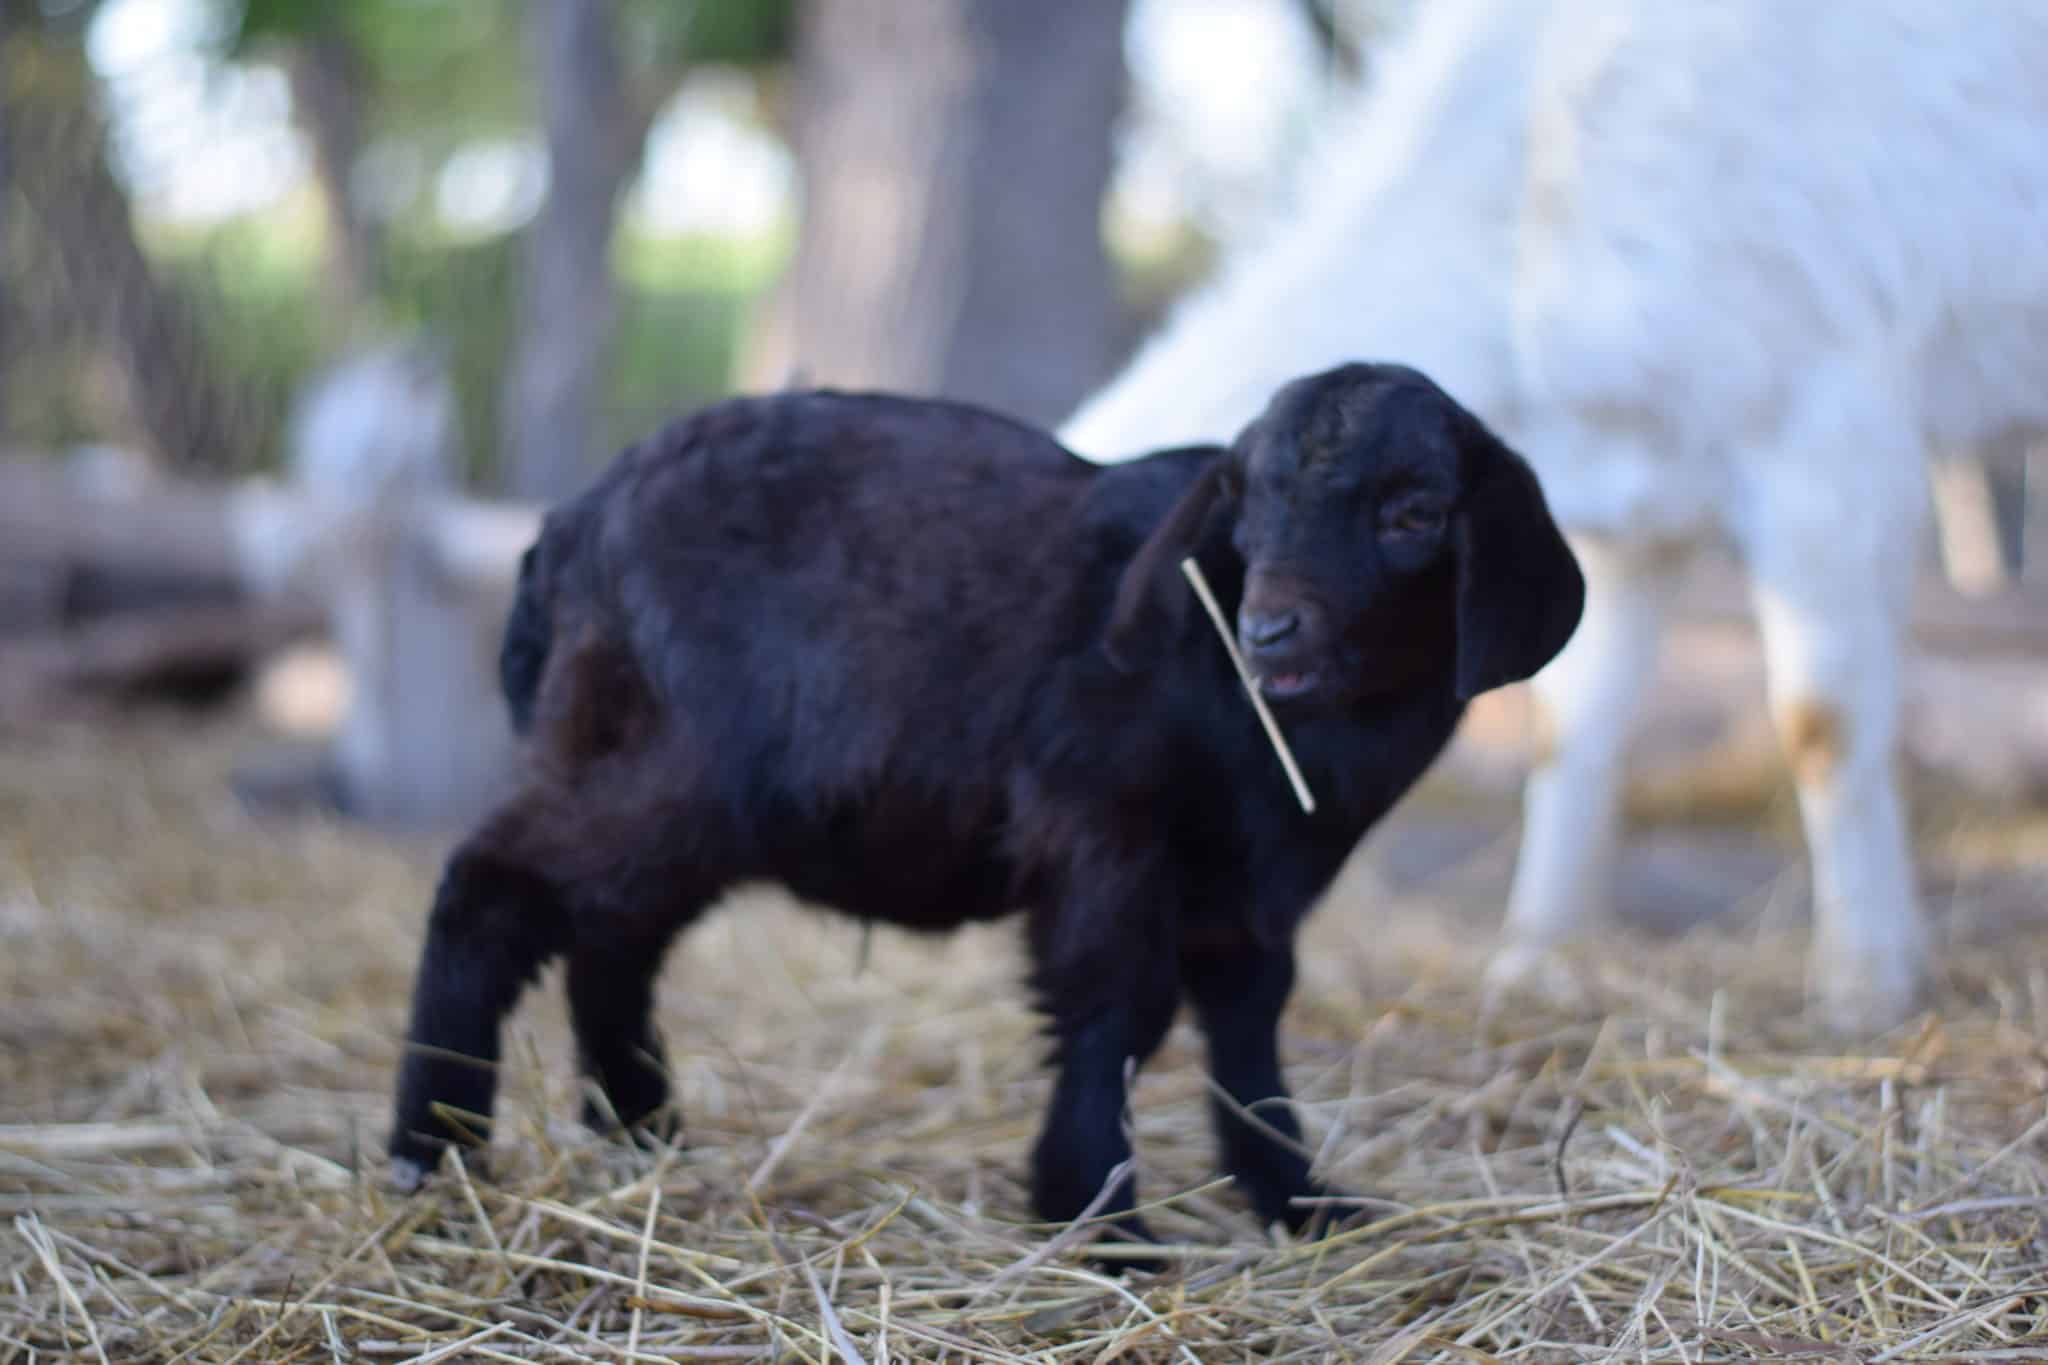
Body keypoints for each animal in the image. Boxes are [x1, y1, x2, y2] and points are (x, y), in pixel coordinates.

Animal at [1064, 0, 2048, 1031]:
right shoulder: (1632, 509)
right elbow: (1571, 727)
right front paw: (1532, 962)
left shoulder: (1828, 427)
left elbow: (1824, 722)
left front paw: (1864, 989)